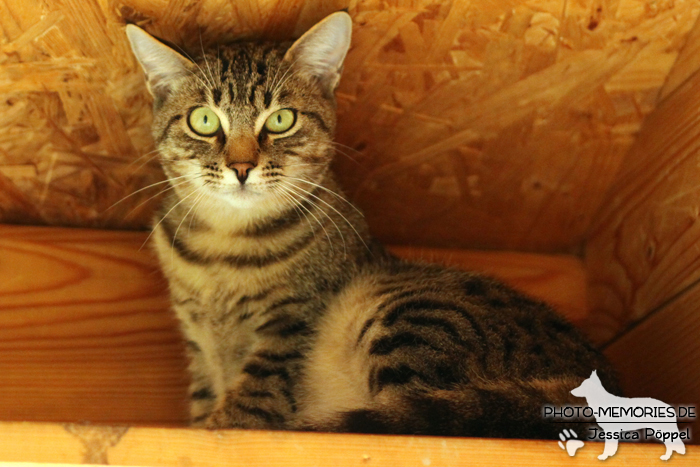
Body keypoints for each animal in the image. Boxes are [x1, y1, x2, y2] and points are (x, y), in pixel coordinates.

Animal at [126, 10, 616, 438]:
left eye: (282, 119)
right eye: (203, 119)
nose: (242, 167)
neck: (223, 244)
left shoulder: (292, 323)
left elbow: (254, 397)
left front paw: (221, 428)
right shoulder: (197, 339)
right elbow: (206, 395)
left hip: (405, 313)